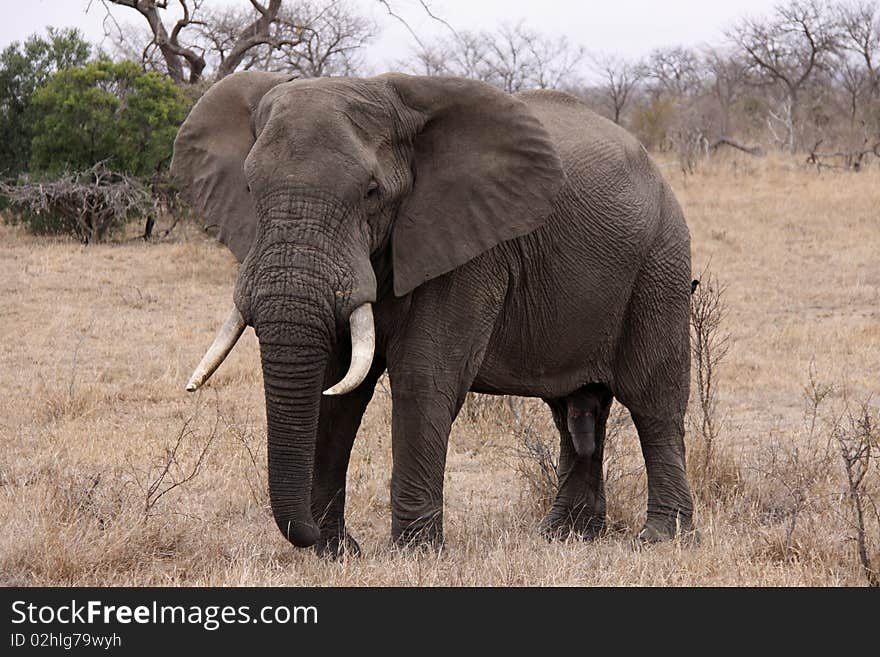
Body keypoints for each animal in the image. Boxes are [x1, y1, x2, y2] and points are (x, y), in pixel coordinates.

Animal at [170, 72, 696, 552]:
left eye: (371, 192)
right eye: (250, 189)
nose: (308, 533)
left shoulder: (471, 246)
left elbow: (424, 376)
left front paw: (414, 552)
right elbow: (337, 386)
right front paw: (333, 552)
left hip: (661, 261)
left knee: (653, 399)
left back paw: (661, 537)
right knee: (574, 408)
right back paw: (566, 536)